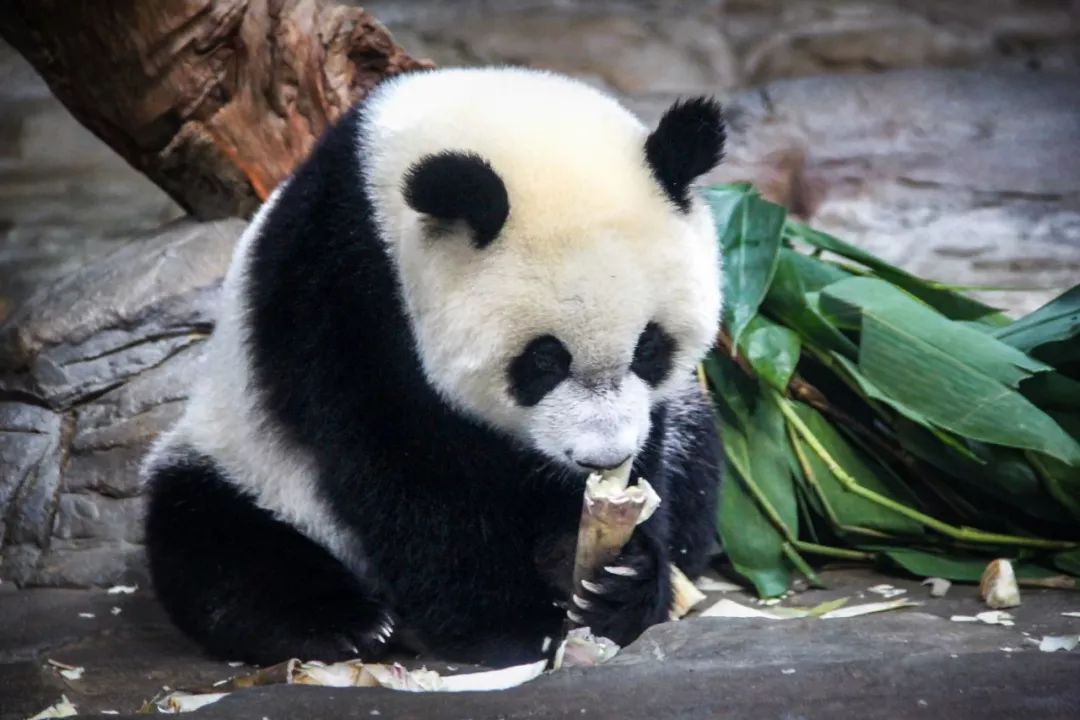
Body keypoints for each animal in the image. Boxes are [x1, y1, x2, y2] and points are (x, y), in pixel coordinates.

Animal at [141, 67, 725, 669]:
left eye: (650, 348)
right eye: (543, 360)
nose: (601, 457)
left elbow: (647, 463)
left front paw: (610, 577)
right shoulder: (343, 294)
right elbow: (404, 467)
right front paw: (512, 621)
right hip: (246, 459)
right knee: (215, 539)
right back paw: (344, 623)